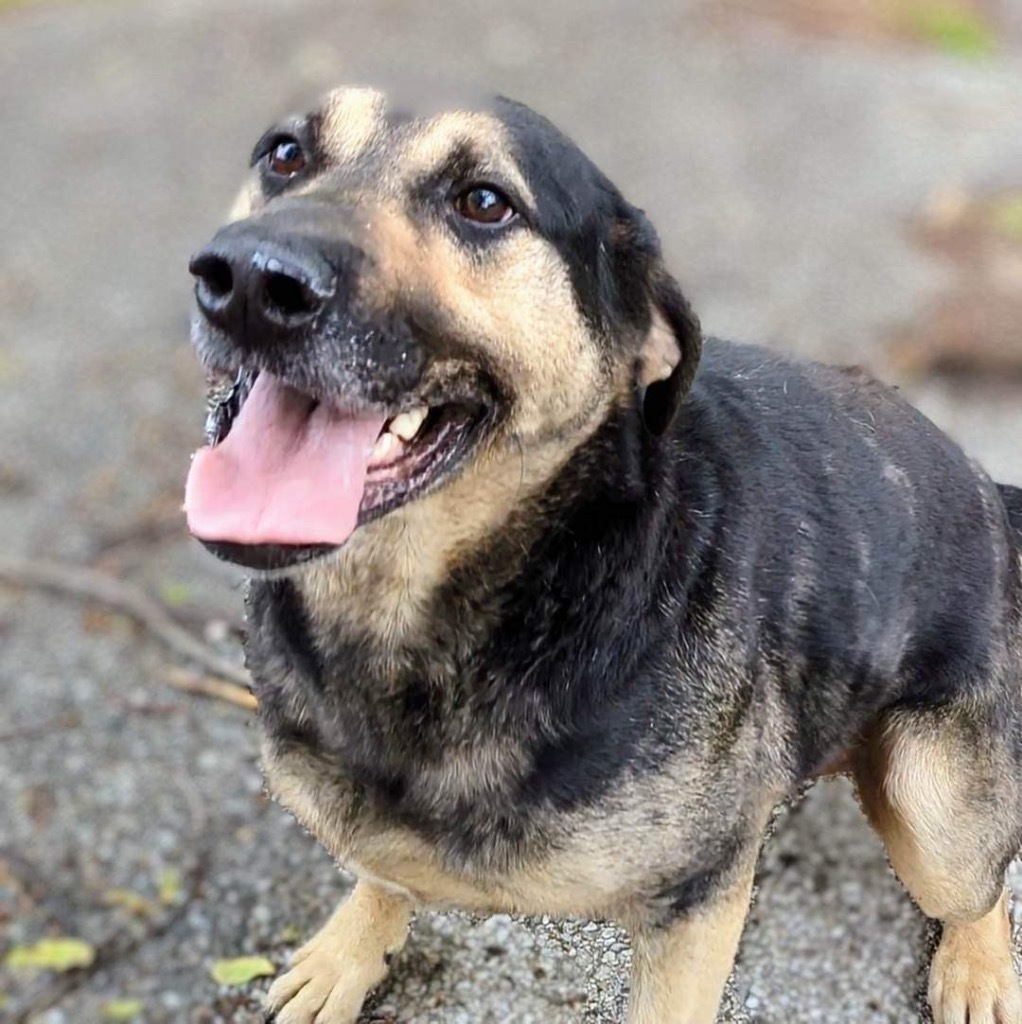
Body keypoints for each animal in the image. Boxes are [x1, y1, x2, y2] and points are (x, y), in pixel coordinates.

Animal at [184, 83, 1022, 1019]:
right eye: (285, 154)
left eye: (484, 202)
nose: (249, 281)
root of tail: (986, 485)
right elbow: (380, 868)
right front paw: (348, 949)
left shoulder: (697, 902)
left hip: (936, 806)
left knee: (982, 887)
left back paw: (979, 970)